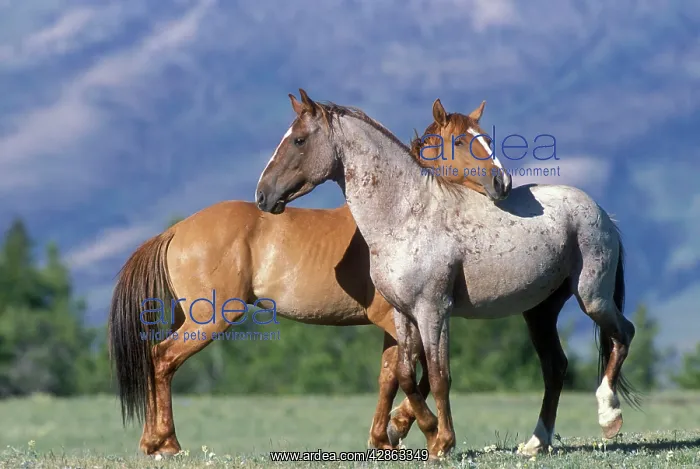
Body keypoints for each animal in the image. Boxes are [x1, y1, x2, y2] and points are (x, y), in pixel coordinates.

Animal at [107, 98, 511, 457]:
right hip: (210, 319)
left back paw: (152, 441)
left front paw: (382, 437)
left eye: (485, 138)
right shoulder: (399, 319)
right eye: (461, 142)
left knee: (154, 360)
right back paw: (166, 443)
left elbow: (389, 377)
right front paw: (403, 428)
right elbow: (419, 374)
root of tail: (175, 231)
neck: (397, 214)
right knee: (162, 359)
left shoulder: (393, 324)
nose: (501, 181)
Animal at [255, 89, 640, 460]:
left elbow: (439, 376)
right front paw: (418, 431)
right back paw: (536, 442)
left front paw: (439, 442)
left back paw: (609, 416)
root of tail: (600, 211)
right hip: (539, 312)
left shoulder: (433, 311)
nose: (263, 194)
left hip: (592, 298)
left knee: (623, 334)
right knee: (555, 367)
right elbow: (406, 375)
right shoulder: (403, 314)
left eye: (299, 140)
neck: (407, 215)